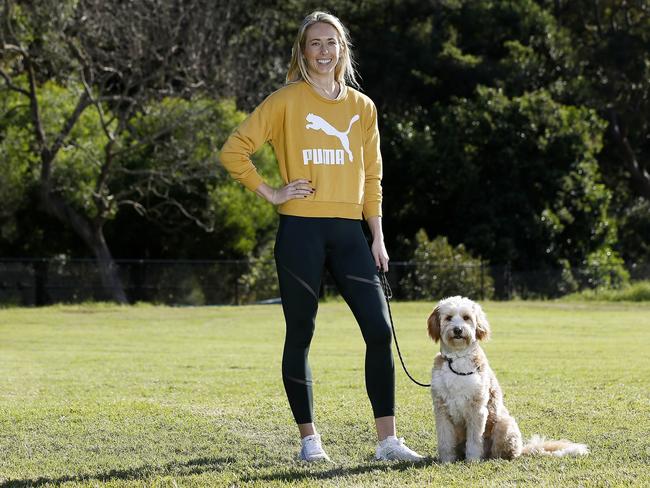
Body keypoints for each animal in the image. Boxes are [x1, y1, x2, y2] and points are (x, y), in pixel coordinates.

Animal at [426, 298, 588, 462]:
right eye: (448, 318)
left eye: (466, 317)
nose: (458, 330)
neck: (457, 359)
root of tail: (522, 449)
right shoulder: (441, 409)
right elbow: (445, 440)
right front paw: (446, 460)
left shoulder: (477, 409)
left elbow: (474, 440)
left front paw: (472, 460)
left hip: (504, 424)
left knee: (500, 453)